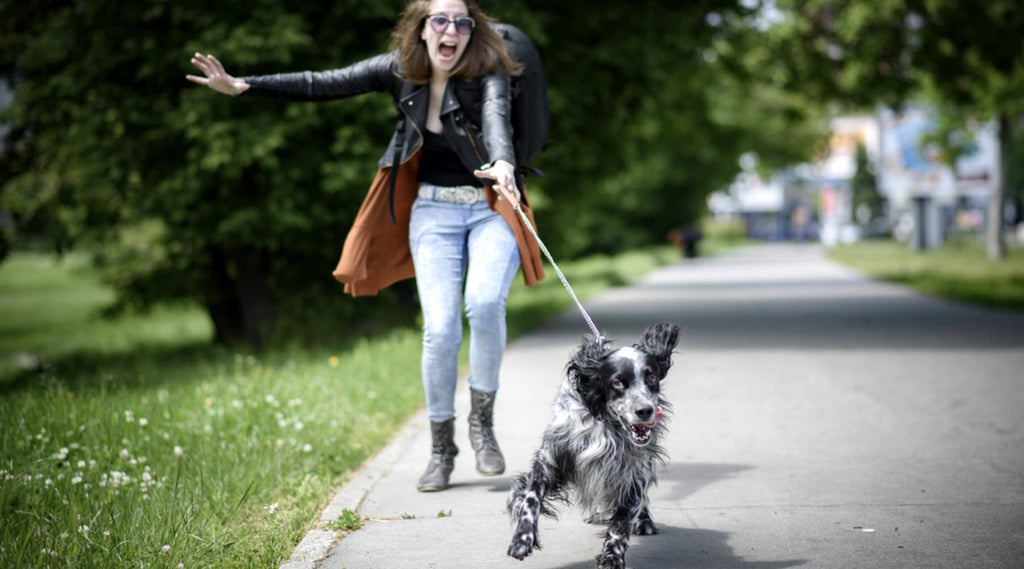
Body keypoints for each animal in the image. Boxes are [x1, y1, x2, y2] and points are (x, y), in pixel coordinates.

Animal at [505, 321, 679, 564]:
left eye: (652, 378)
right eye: (618, 382)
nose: (645, 411)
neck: (605, 424)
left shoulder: (631, 472)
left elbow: (621, 522)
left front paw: (613, 556)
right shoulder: (550, 458)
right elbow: (529, 499)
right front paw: (522, 539)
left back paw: (644, 521)